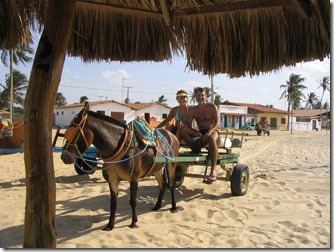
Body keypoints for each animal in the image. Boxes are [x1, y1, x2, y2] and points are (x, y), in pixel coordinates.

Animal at [60, 102, 180, 230]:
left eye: (74, 132)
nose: (64, 157)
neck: (120, 147)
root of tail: (171, 134)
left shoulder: (134, 179)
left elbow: (132, 201)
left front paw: (133, 222)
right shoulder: (113, 179)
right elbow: (113, 203)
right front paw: (110, 225)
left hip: (171, 165)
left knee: (171, 185)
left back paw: (173, 206)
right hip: (157, 168)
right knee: (162, 185)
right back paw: (157, 206)